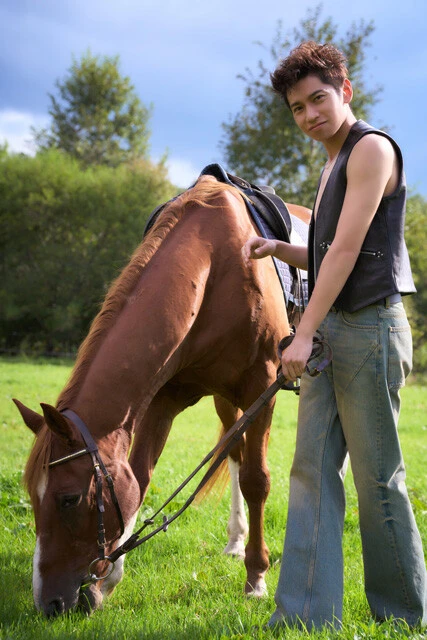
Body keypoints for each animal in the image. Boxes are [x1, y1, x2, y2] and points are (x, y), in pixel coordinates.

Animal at [14, 174, 310, 616]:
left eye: (68, 499)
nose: (48, 604)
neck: (219, 263)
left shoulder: (263, 387)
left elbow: (258, 481)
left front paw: (256, 578)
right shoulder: (163, 399)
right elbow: (139, 478)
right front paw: (109, 578)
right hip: (226, 399)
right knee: (234, 452)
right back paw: (235, 540)